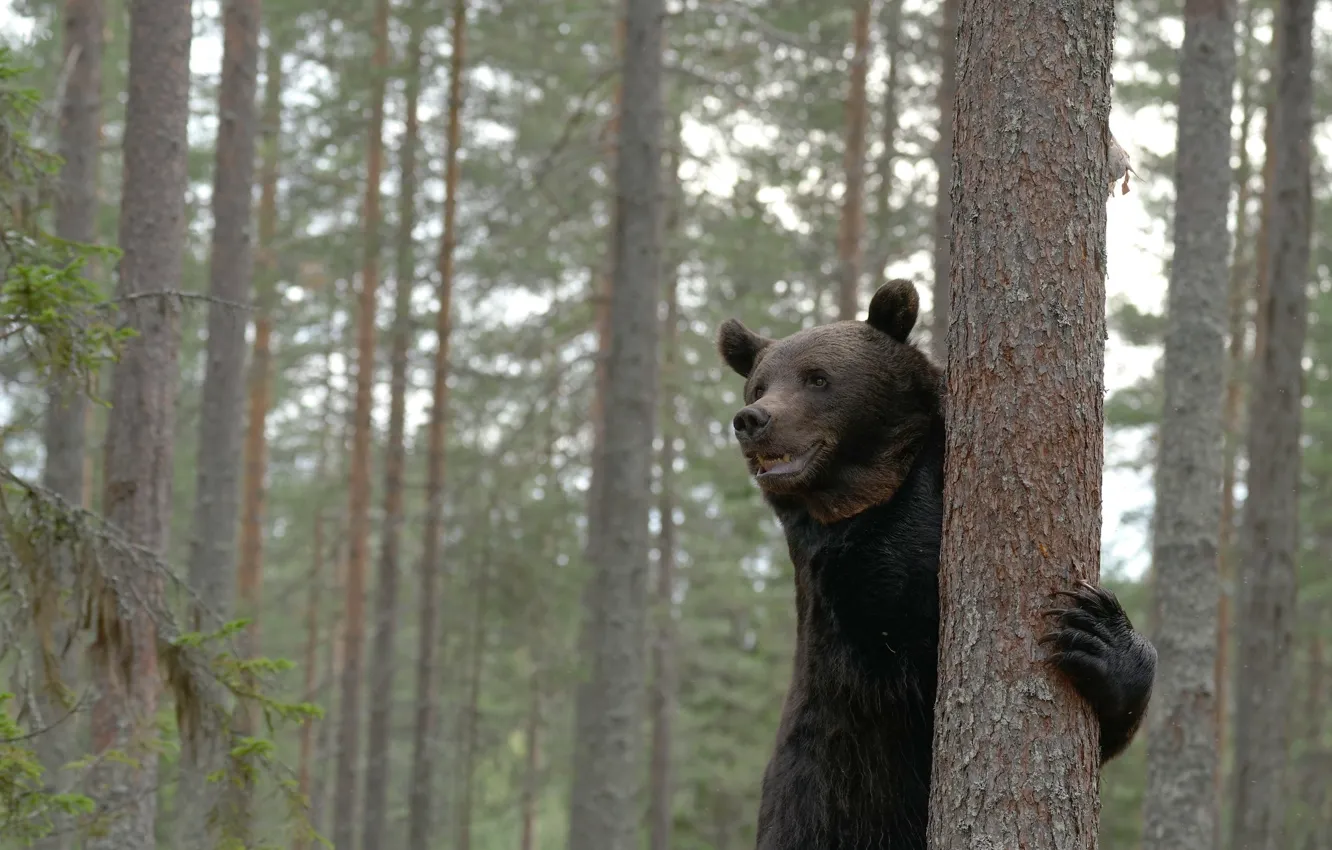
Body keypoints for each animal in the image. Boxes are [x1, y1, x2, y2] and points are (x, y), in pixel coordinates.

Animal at [719, 281, 1156, 850]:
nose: (753, 419)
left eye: (817, 378)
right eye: (759, 385)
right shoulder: (861, 608)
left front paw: (1098, 633)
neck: (855, 499)